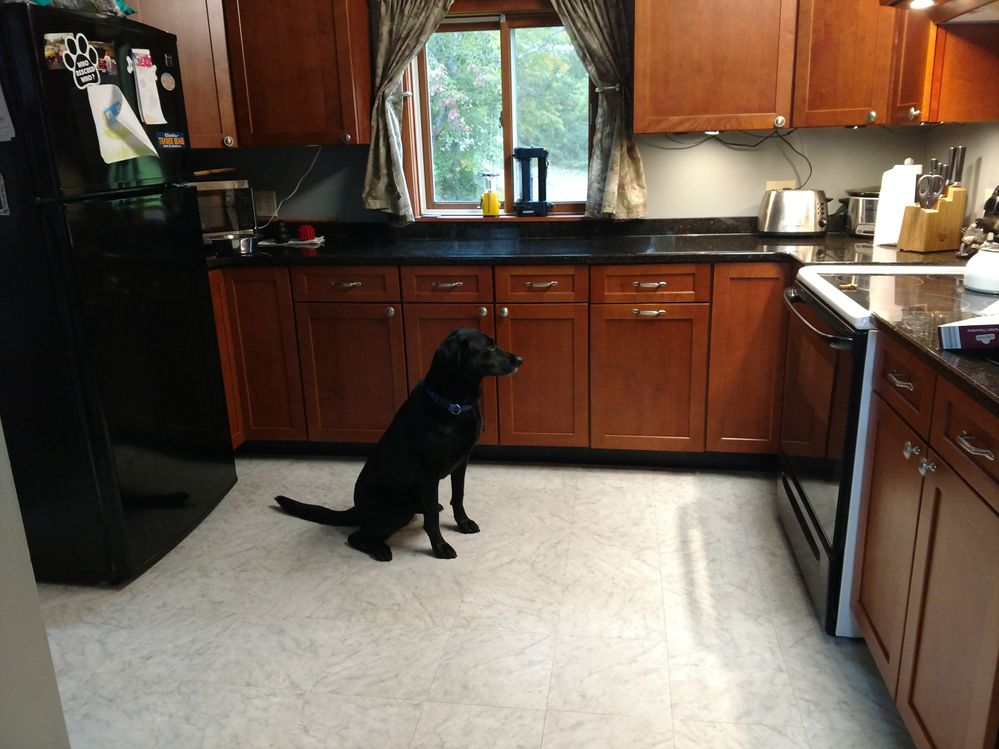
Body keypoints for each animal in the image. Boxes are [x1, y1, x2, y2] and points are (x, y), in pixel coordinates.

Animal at [274, 328, 524, 560]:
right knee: (356, 536)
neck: (453, 404)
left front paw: (463, 523)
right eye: (489, 347)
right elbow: (432, 519)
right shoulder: (429, 473)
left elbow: (458, 496)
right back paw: (380, 549)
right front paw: (440, 547)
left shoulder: (461, 462)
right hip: (397, 511)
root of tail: (357, 508)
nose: (520, 359)